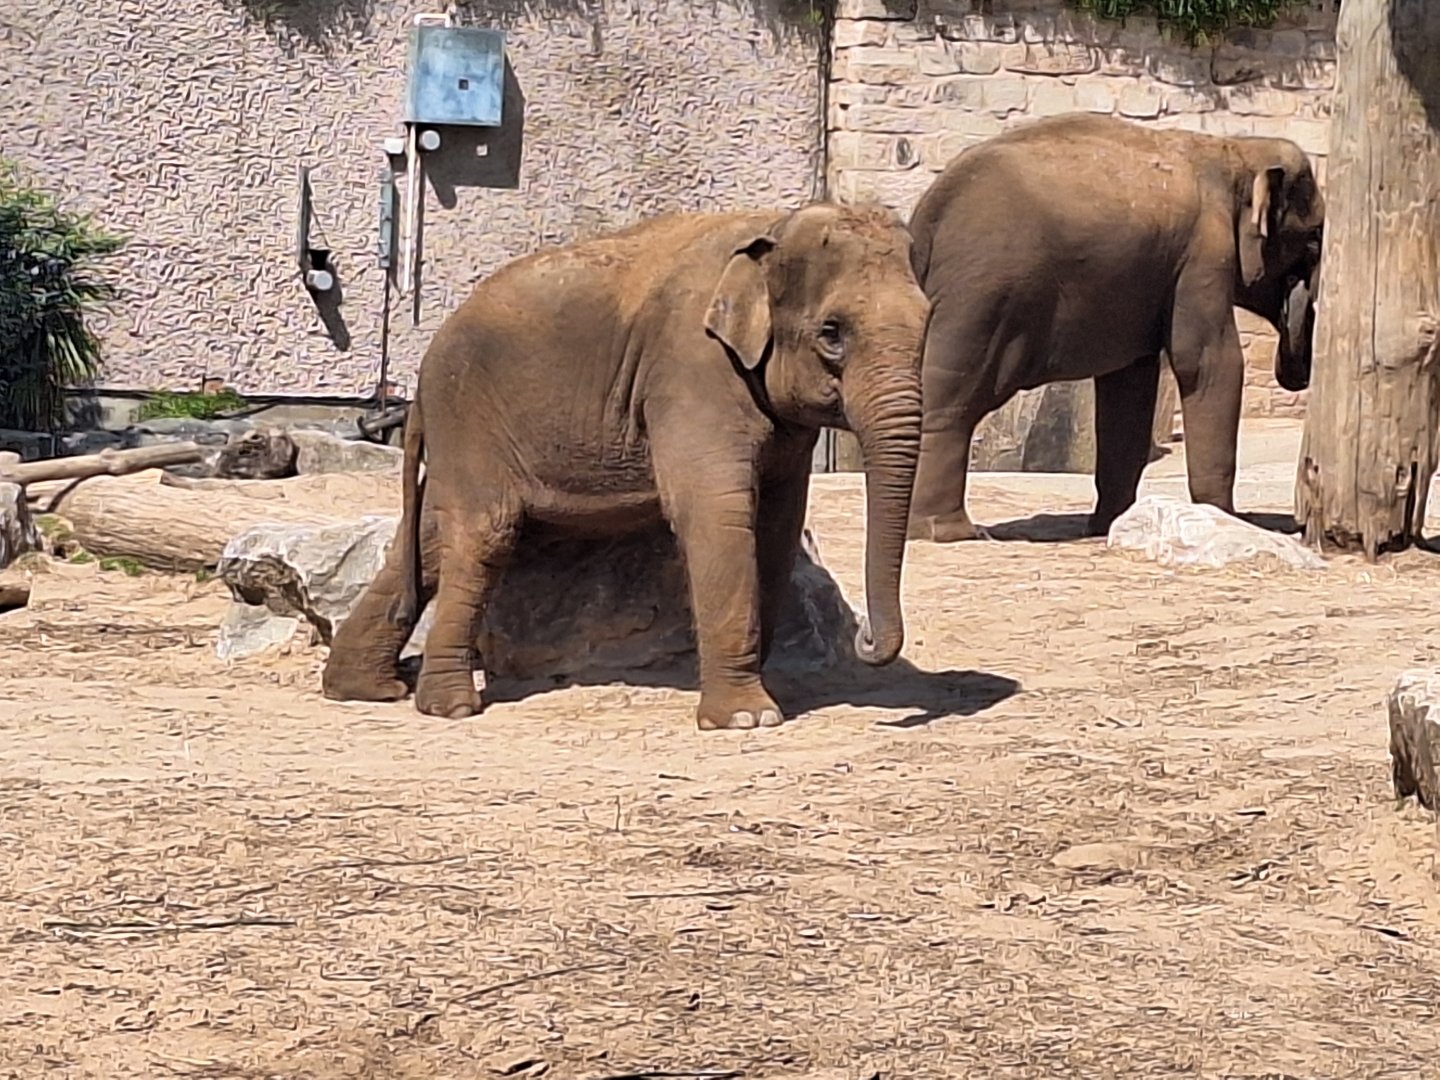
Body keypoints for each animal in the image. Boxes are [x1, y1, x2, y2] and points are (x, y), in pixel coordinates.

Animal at [321, 203, 932, 730]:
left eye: (929, 320)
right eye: (832, 332)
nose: (866, 642)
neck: (773, 226)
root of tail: (421, 373)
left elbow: (777, 524)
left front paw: (757, 694)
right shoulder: (692, 369)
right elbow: (716, 513)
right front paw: (747, 718)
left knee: (429, 535)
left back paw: (365, 689)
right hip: (469, 416)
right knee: (483, 533)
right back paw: (449, 707)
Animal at [904, 112, 1325, 543]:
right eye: (1313, 241)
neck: (1235, 149)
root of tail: (927, 221)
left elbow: (1130, 384)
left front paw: (1111, 524)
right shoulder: (1204, 253)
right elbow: (1208, 362)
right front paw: (1223, 518)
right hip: (981, 301)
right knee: (952, 403)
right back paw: (947, 532)